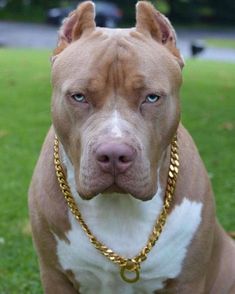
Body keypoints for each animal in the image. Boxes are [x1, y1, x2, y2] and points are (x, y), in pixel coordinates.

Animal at [28, 1, 235, 292]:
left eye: (152, 97)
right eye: (79, 97)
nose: (114, 154)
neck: (119, 204)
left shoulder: (188, 280)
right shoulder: (54, 275)